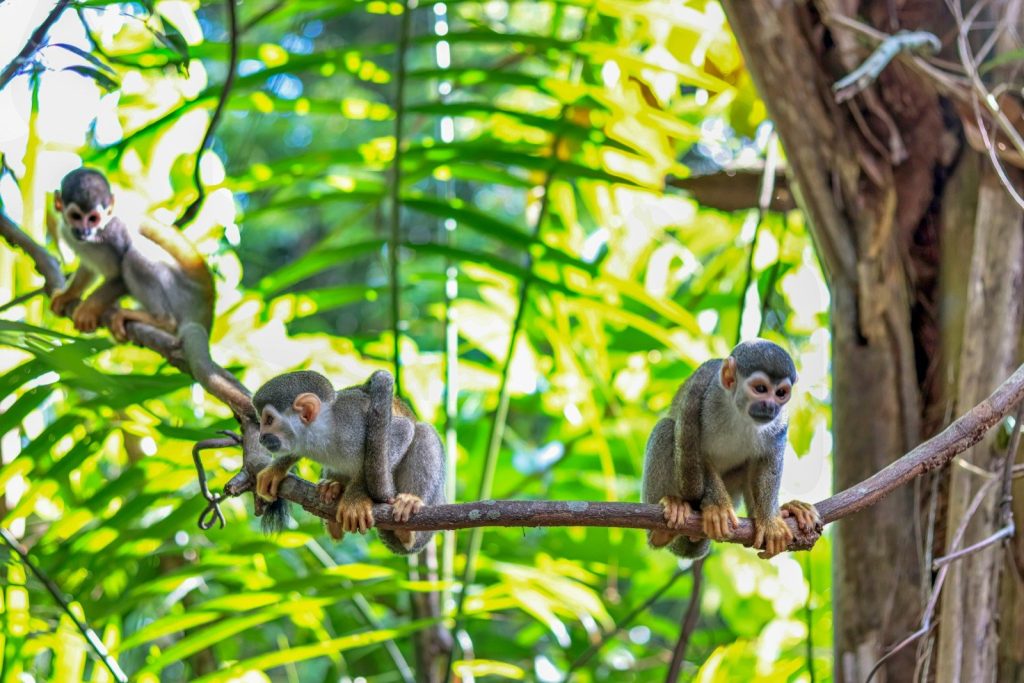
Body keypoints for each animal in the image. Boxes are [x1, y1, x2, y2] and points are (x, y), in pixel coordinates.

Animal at [251, 369, 445, 555]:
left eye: (269, 420)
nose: (261, 438)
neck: (323, 431)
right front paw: (276, 469)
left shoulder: (352, 426)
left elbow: (403, 429)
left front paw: (357, 496)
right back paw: (333, 495)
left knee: (424, 432)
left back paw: (408, 515)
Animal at [642, 339, 820, 559]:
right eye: (760, 388)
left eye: (780, 393)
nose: (770, 406)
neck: (740, 412)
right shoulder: (709, 401)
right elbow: (702, 454)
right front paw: (718, 506)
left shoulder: (781, 419)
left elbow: (767, 461)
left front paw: (769, 520)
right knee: (666, 428)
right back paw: (661, 530)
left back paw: (785, 511)